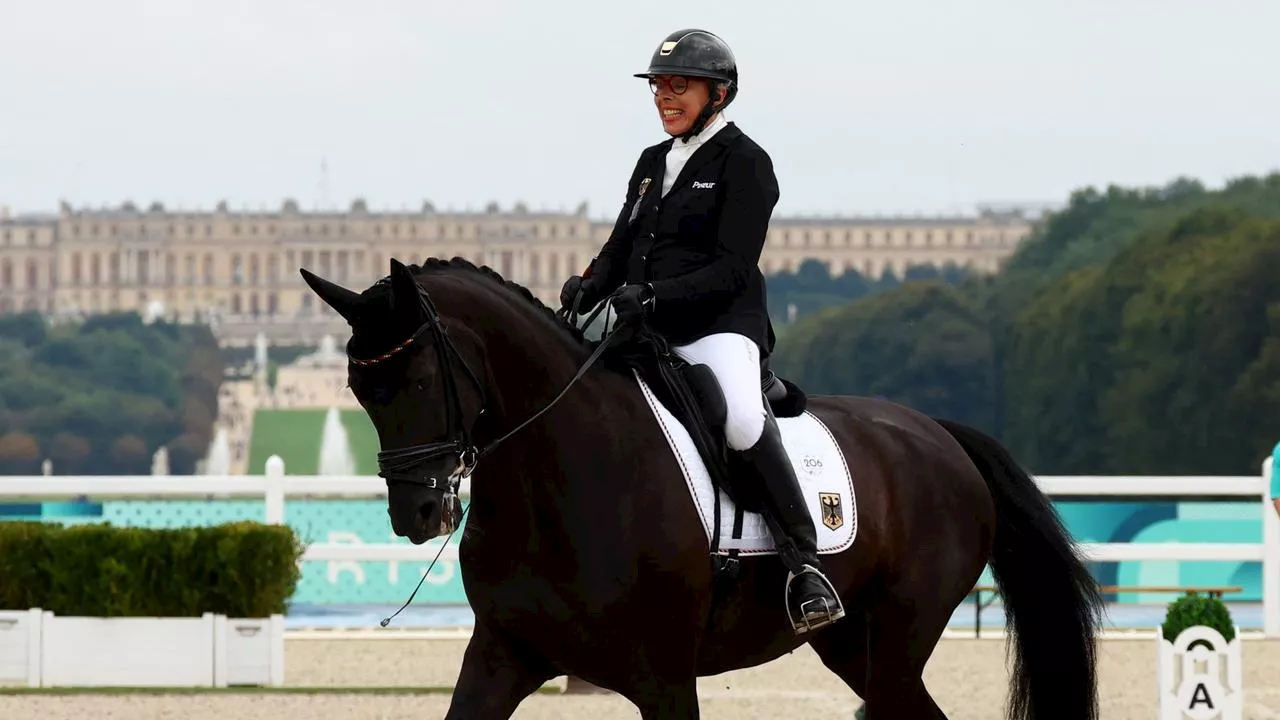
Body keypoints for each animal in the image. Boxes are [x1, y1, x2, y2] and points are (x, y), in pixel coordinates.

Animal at [296, 257, 1100, 717]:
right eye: (358, 388)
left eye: (419, 380)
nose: (417, 511)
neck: (557, 480)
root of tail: (937, 431)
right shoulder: (502, 657)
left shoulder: (663, 676)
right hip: (854, 647)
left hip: (900, 637)